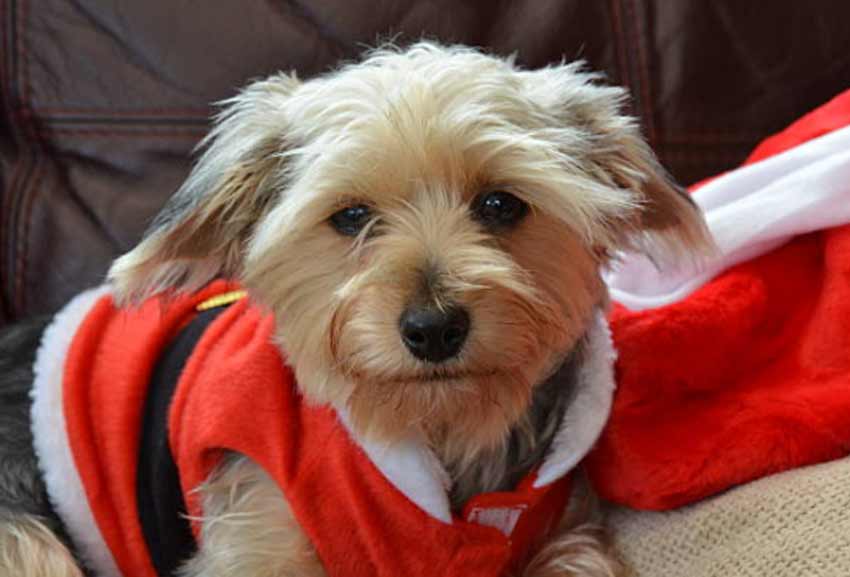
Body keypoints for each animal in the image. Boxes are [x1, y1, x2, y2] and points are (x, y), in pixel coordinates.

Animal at [1, 41, 708, 576]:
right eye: (350, 217)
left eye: (501, 205)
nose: (434, 328)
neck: (439, 432)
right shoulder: (256, 517)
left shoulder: (564, 528)